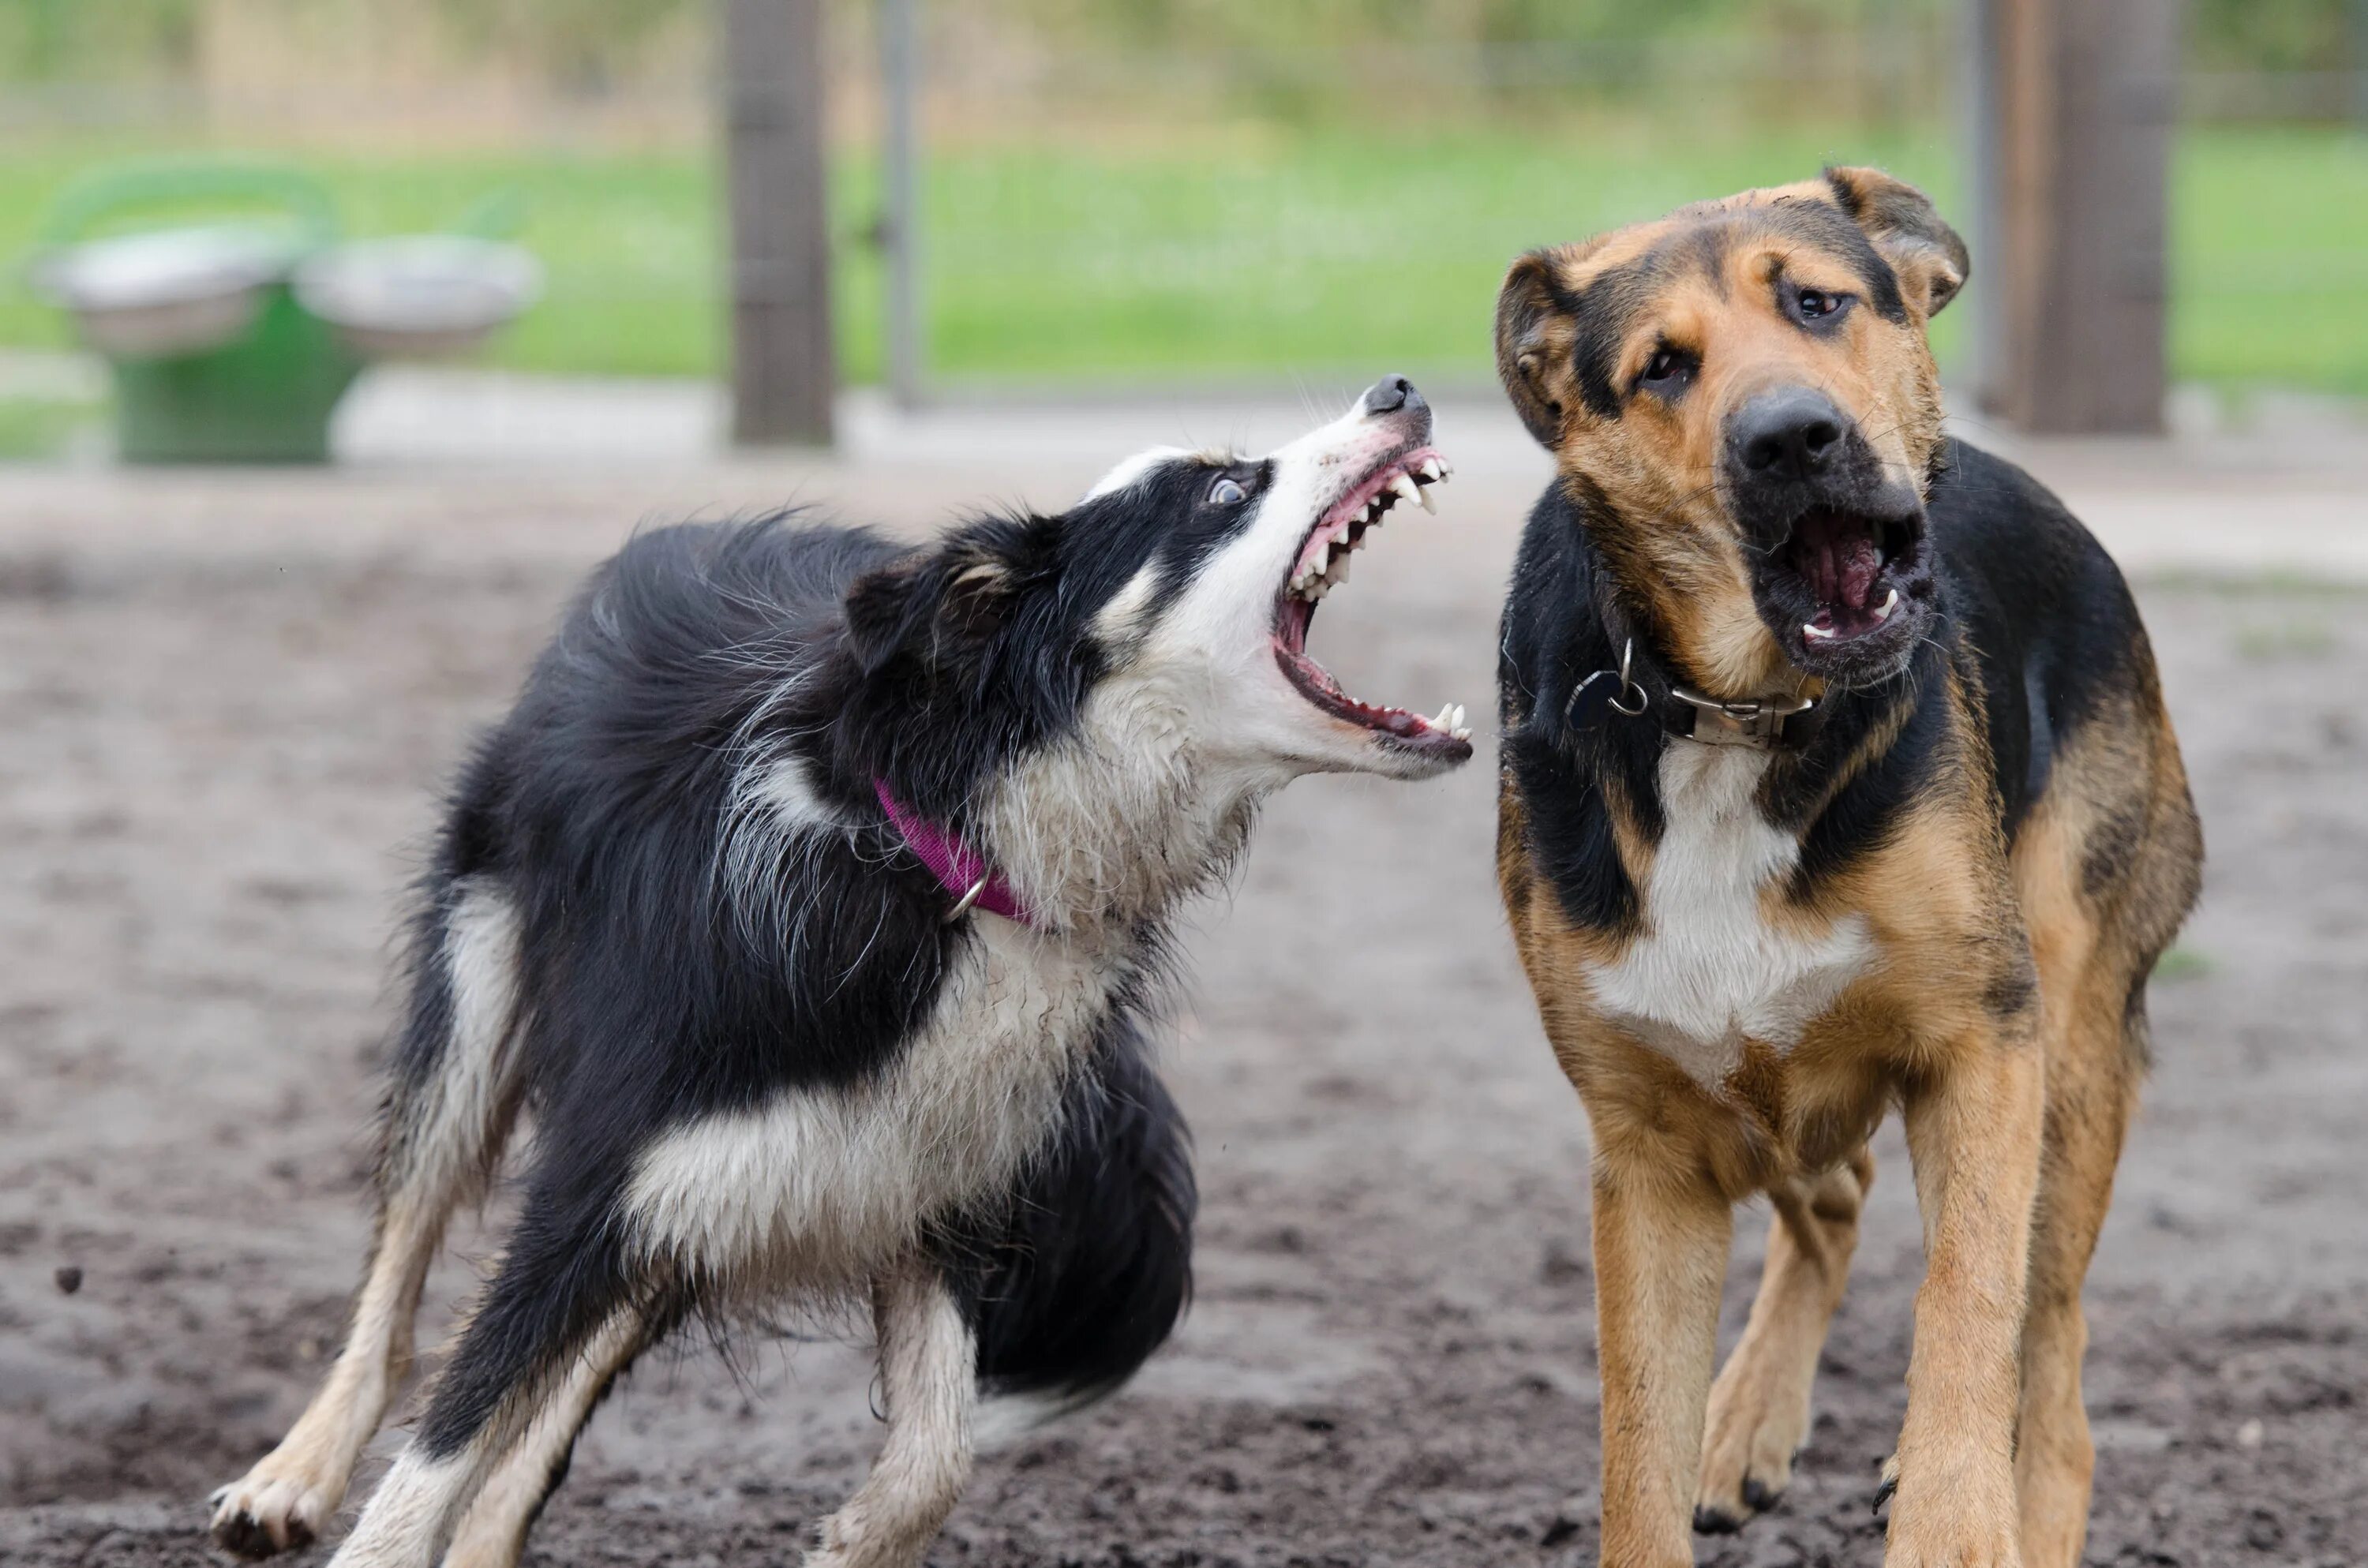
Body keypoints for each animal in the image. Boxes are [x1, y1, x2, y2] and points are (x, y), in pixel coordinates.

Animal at [208, 381, 1459, 1568]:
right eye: (1224, 491)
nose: (1400, 390)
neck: (951, 853)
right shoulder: (606, 1175)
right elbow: (443, 1437)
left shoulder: (925, 1180)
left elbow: (936, 1453)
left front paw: (854, 1537)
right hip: (481, 993)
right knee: (403, 1272)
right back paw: (290, 1477)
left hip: (727, 1192)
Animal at [1497, 166, 2198, 1562]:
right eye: (1662, 366)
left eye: (1818, 304)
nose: (1791, 439)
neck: (1732, 715)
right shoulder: (1647, 1148)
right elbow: (1634, 1447)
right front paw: (1697, 1438)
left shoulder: (1985, 1045)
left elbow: (1967, 1311)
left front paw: (1955, 1516)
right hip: (1767, 1088)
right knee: (1835, 1197)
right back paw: (1745, 1420)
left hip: (2072, 1045)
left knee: (2054, 1350)